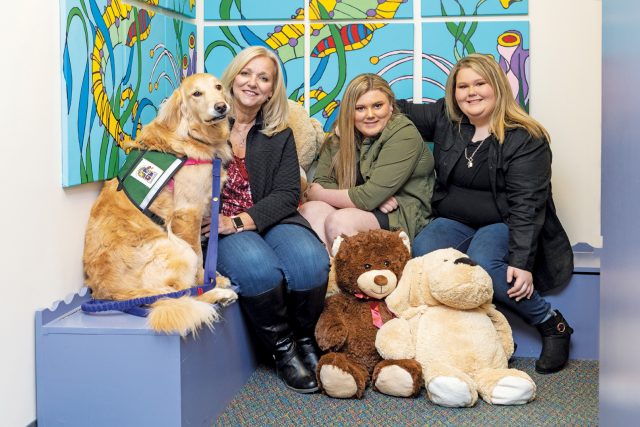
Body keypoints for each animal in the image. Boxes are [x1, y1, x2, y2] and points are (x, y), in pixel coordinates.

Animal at [82, 73, 236, 336]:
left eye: (218, 87)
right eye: (196, 94)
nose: (221, 107)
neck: (192, 134)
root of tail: (112, 295)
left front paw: (216, 277)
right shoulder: (188, 213)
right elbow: (200, 260)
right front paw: (207, 282)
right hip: (176, 248)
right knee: (180, 295)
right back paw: (217, 294)